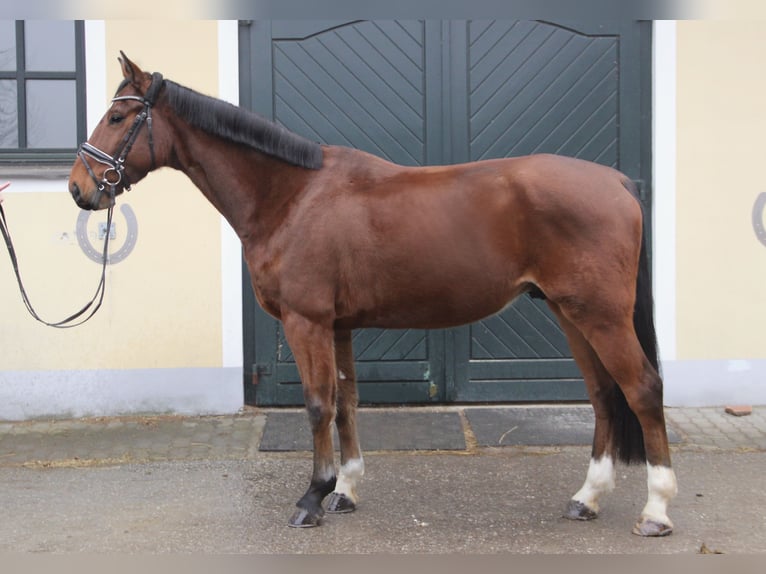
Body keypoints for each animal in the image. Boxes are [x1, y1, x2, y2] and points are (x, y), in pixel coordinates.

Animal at [67, 51, 680, 536]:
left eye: (117, 116)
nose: (78, 188)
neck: (292, 196)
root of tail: (617, 182)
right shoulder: (338, 326)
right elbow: (346, 404)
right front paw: (345, 490)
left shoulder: (307, 321)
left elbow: (318, 404)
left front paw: (312, 497)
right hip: (569, 312)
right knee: (603, 394)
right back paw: (588, 498)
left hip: (601, 315)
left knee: (642, 389)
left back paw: (656, 510)